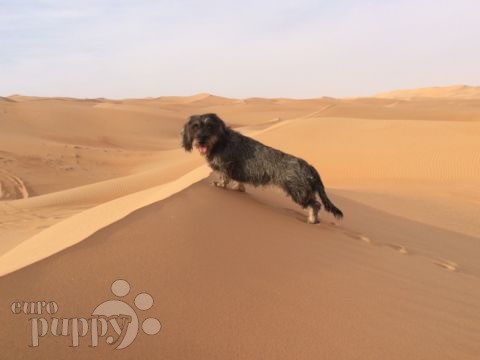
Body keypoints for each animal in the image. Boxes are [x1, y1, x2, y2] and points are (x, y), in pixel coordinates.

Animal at [180, 114, 342, 224]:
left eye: (210, 126)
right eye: (195, 126)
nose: (201, 140)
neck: (220, 141)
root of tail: (309, 166)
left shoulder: (225, 166)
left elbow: (224, 177)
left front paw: (220, 185)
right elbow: (238, 181)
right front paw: (238, 188)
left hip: (298, 192)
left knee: (315, 205)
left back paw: (312, 219)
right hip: (306, 191)